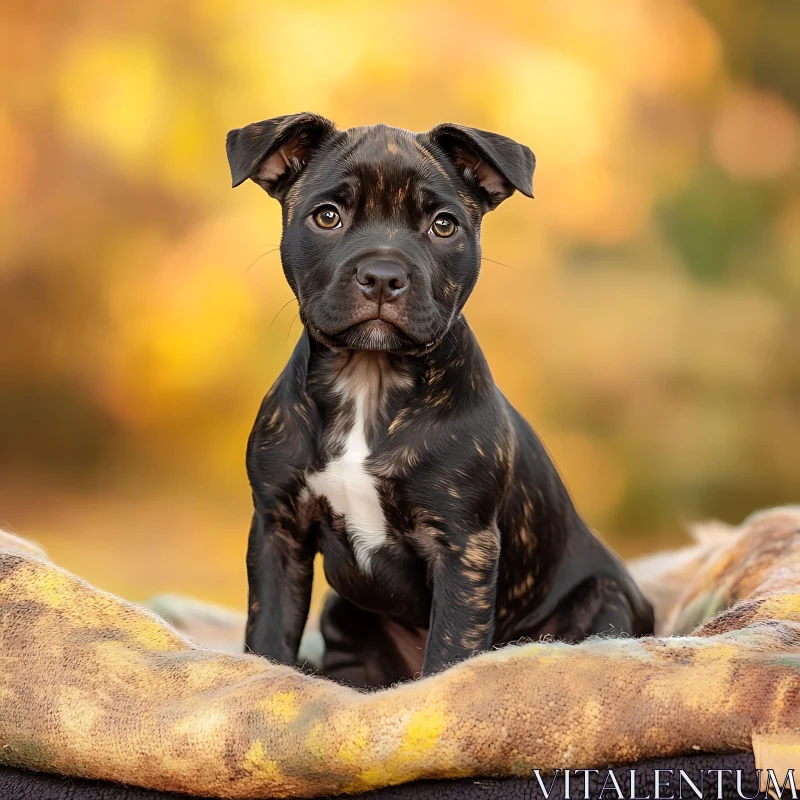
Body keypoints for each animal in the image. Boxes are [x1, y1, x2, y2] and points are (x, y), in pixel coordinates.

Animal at [223, 111, 648, 688]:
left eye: (443, 226)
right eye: (327, 217)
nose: (382, 276)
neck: (370, 379)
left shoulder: (463, 545)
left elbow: (450, 647)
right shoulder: (277, 528)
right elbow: (268, 629)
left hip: (604, 603)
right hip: (343, 611)